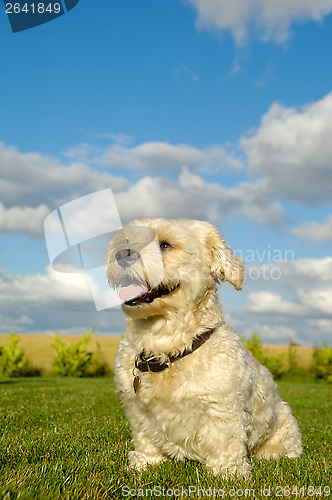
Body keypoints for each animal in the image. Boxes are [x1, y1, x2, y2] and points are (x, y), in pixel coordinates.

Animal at [105, 219, 302, 476]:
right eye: (127, 241)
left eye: (165, 245)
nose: (121, 254)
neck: (165, 347)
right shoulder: (137, 409)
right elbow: (145, 439)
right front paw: (145, 464)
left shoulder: (223, 409)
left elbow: (226, 444)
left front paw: (229, 474)